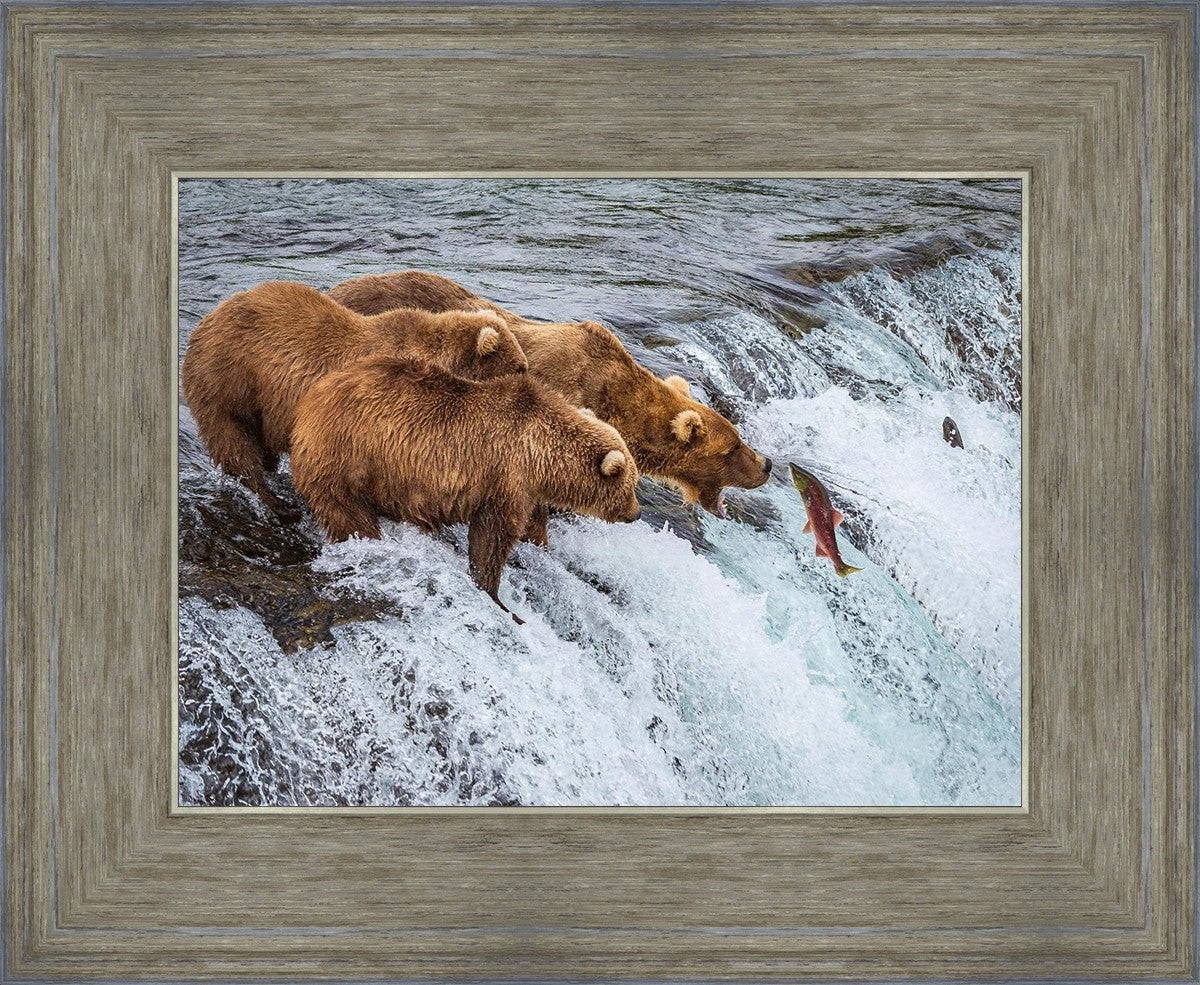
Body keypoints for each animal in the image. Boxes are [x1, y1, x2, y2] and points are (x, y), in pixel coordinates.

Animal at [181, 280, 528, 516]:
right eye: (520, 367)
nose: (530, 383)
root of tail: (204, 322)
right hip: (229, 382)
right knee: (235, 444)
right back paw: (275, 502)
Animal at [289, 356, 642, 622]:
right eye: (631, 486)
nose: (636, 513)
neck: (541, 454)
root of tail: (309, 402)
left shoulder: (527, 489)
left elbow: (531, 527)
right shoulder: (505, 477)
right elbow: (492, 537)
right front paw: (497, 597)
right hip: (348, 457)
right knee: (349, 514)